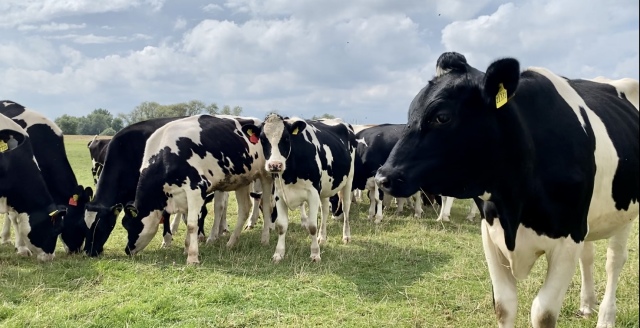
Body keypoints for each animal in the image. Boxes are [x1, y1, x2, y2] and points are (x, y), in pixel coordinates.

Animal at [122, 114, 272, 264]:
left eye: (129, 225)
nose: (127, 250)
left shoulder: (195, 189)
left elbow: (192, 225)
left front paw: (192, 257)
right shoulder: (182, 195)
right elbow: (188, 220)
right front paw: (186, 248)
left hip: (266, 175)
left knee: (266, 206)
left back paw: (265, 239)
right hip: (242, 179)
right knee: (244, 209)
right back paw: (231, 242)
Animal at [251, 114, 360, 262]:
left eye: (286, 138)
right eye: (262, 139)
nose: (275, 165)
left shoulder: (313, 194)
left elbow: (312, 226)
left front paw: (315, 254)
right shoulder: (279, 195)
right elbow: (281, 226)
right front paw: (278, 254)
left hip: (349, 180)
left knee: (346, 207)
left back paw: (346, 236)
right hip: (325, 189)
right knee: (325, 211)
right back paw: (322, 237)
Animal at [376, 52, 640, 328]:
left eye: (442, 117)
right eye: (410, 114)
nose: (383, 176)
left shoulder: (568, 237)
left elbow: (543, 313)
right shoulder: (491, 232)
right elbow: (504, 306)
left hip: (624, 214)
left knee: (614, 261)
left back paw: (606, 318)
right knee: (588, 256)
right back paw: (587, 305)